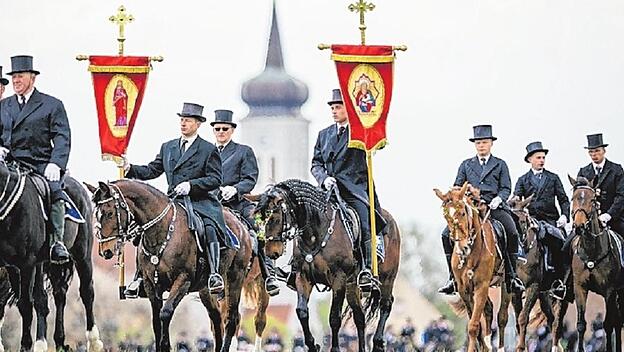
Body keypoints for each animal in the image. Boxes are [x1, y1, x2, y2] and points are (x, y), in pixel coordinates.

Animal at [0, 164, 101, 352]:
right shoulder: (11, 266)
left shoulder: (27, 264)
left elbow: (25, 304)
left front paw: (26, 345)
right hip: (48, 263)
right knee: (57, 295)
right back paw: (58, 341)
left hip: (82, 254)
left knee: (87, 292)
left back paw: (94, 342)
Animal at [87, 180, 270, 350]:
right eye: (96, 214)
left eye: (110, 213)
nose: (105, 251)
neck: (161, 233)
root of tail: (241, 225)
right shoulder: (151, 285)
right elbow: (156, 321)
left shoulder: (183, 280)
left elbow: (165, 313)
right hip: (206, 290)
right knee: (217, 319)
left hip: (235, 279)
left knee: (233, 319)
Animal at [249, 179, 400, 352]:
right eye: (258, 219)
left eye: (275, 218)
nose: (270, 252)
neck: (315, 233)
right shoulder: (303, 277)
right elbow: (302, 312)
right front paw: (313, 345)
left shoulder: (339, 279)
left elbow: (334, 317)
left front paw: (334, 348)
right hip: (352, 286)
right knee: (359, 316)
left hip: (387, 278)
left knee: (385, 305)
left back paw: (378, 342)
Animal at [434, 183, 502, 350]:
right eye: (446, 216)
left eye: (463, 213)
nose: (463, 248)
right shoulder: (464, 290)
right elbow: (474, 327)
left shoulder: (481, 287)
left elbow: (473, 326)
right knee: (489, 309)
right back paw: (487, 345)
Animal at [564, 176, 624, 352]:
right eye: (573, 198)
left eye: (592, 200)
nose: (579, 226)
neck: (592, 250)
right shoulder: (580, 287)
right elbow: (581, 324)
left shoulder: (609, 291)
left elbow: (609, 324)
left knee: (617, 322)